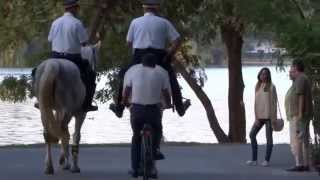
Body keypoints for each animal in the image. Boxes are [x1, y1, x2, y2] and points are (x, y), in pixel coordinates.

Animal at [33, 43, 99, 174]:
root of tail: (53, 65)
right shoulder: (80, 114)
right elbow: (76, 136)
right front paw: (73, 165)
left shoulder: (58, 110)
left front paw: (63, 159)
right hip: (67, 111)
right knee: (64, 132)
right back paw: (67, 164)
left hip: (44, 109)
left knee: (49, 133)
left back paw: (49, 167)